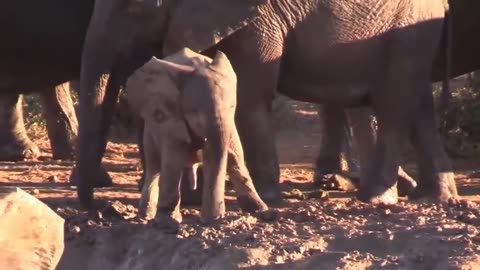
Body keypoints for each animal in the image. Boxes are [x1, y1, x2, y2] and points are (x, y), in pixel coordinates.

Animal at [75, 0, 454, 208]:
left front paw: (269, 197)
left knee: (395, 102)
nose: (99, 209)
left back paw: (377, 198)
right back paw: (433, 198)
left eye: (135, 6)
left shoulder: (257, 21)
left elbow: (250, 96)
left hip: (408, 30)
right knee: (418, 103)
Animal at [124, 48, 268, 226]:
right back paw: (146, 218)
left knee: (236, 161)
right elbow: (173, 160)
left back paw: (262, 212)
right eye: (196, 114)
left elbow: (228, 155)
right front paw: (167, 222)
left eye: (232, 107)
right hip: (151, 128)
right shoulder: (170, 118)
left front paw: (213, 220)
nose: (214, 219)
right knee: (155, 168)